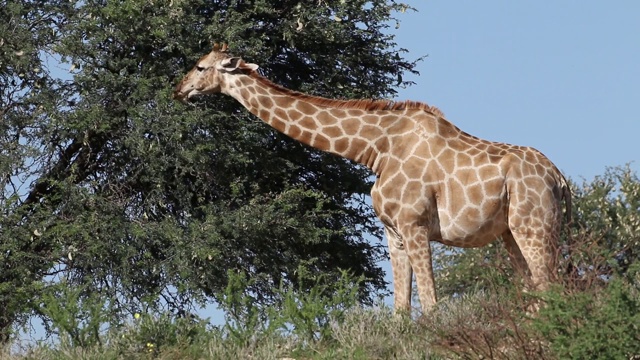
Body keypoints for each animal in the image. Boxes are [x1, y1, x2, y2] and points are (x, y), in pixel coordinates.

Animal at [174, 43, 568, 314]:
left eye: (200, 66)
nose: (179, 89)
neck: (375, 149)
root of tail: (560, 181)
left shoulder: (414, 225)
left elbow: (431, 306)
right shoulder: (393, 232)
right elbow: (401, 310)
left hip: (535, 226)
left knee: (553, 290)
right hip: (511, 233)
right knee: (537, 294)